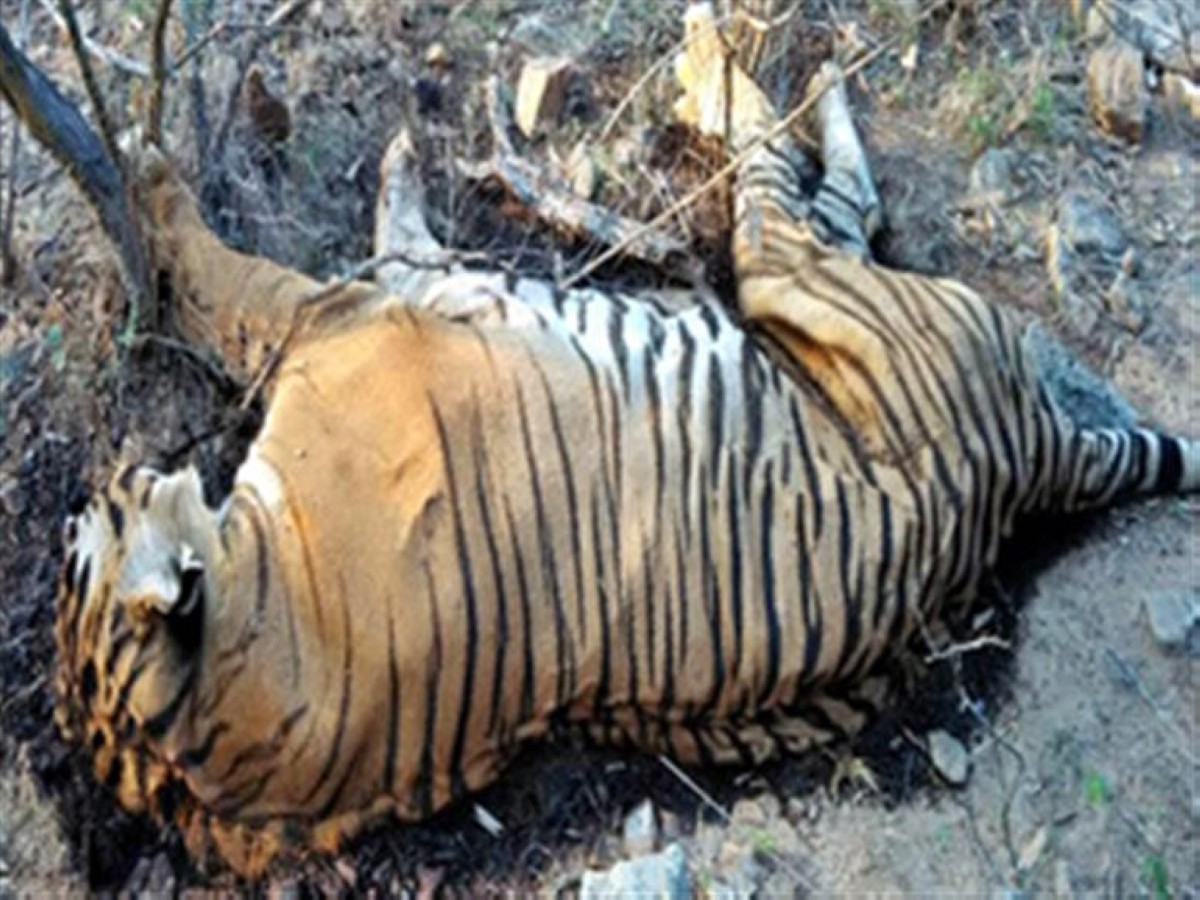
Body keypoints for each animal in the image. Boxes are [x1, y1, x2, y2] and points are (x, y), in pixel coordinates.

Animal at [53, 2, 1197, 877]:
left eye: (84, 534)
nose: (103, 485)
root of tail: (1027, 462)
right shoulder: (337, 312)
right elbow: (228, 276)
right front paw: (154, 173)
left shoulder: (352, 306)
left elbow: (274, 265)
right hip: (809, 277)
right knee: (808, 177)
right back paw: (732, 56)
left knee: (807, 171)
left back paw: (738, 50)